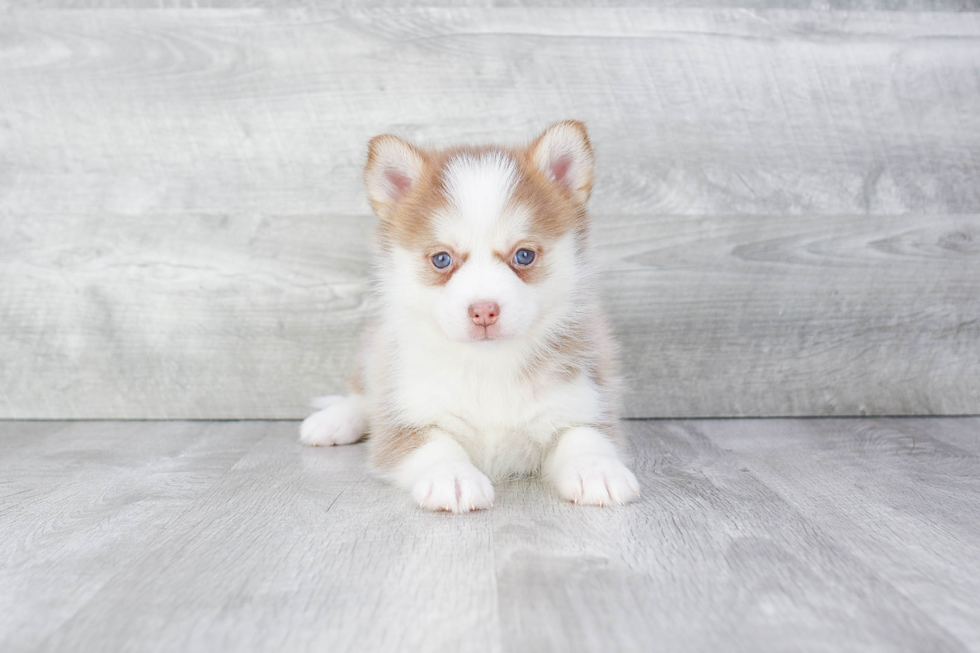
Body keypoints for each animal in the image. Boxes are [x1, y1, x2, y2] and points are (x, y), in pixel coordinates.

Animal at [302, 121, 640, 510]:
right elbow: (434, 444)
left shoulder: (585, 397)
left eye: (524, 255)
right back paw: (333, 421)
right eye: (441, 259)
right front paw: (452, 477)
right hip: (378, 351)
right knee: (363, 393)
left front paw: (596, 469)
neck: (488, 365)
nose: (483, 310)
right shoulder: (405, 418)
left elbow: (584, 435)